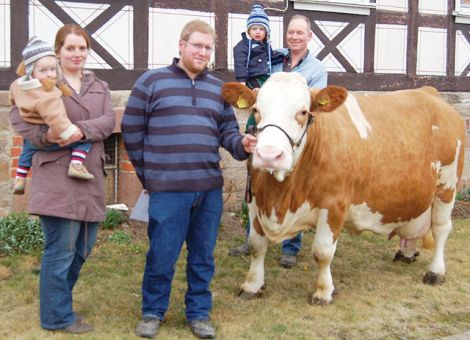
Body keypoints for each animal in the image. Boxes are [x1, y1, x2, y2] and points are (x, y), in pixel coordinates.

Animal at [222, 72, 464, 306]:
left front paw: (323, 292)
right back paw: (406, 252)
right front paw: (252, 286)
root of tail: (428, 91)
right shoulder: (255, 201)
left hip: (447, 186)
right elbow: (256, 245)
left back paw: (435, 271)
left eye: (303, 112)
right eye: (256, 110)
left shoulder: (334, 204)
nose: (269, 155)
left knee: (441, 229)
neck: (280, 196)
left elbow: (322, 252)